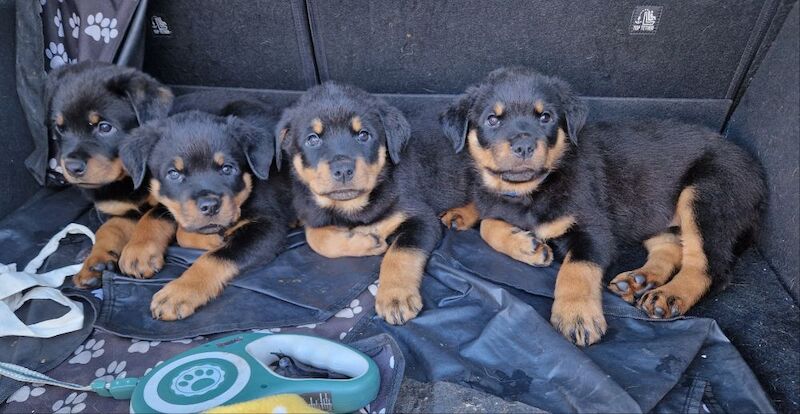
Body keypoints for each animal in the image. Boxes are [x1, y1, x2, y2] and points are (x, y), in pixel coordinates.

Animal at [46, 60, 174, 288]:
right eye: (60, 128)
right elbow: (109, 229)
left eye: (105, 127)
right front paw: (95, 262)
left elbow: (152, 216)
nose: (72, 167)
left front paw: (139, 252)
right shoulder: (119, 209)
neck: (128, 179)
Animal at [119, 102, 294, 320]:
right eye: (173, 174)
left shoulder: (269, 226)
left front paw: (179, 292)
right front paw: (138, 250)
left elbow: (215, 257)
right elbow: (156, 215)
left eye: (227, 169)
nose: (210, 206)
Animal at [276, 82, 476, 326]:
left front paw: (395, 297)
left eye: (364, 135)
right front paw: (367, 241)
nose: (343, 169)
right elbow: (315, 238)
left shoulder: (421, 218)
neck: (353, 207)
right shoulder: (313, 213)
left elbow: (401, 253)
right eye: (312, 139)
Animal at [440, 68, 764, 346]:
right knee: (672, 247)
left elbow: (577, 267)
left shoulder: (594, 228)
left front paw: (577, 316)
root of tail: (756, 173)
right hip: (653, 210)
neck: (533, 190)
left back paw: (669, 296)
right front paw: (522, 243)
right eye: (492, 120)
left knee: (709, 267)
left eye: (545, 117)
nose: (524, 146)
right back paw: (638, 281)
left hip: (706, 195)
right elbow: (488, 220)